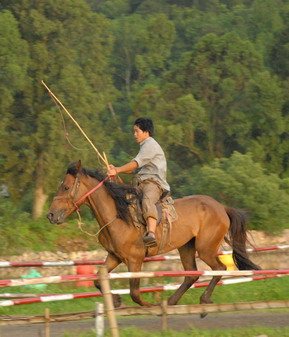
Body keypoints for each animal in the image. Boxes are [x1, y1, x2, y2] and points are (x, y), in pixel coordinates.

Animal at [47, 160, 258, 310]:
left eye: (66, 187)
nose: (51, 215)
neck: (119, 215)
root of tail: (221, 207)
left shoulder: (135, 260)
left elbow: (135, 292)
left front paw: (150, 305)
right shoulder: (114, 256)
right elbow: (98, 281)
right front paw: (116, 300)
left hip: (205, 248)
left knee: (219, 268)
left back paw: (204, 298)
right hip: (187, 247)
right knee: (191, 275)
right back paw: (171, 301)